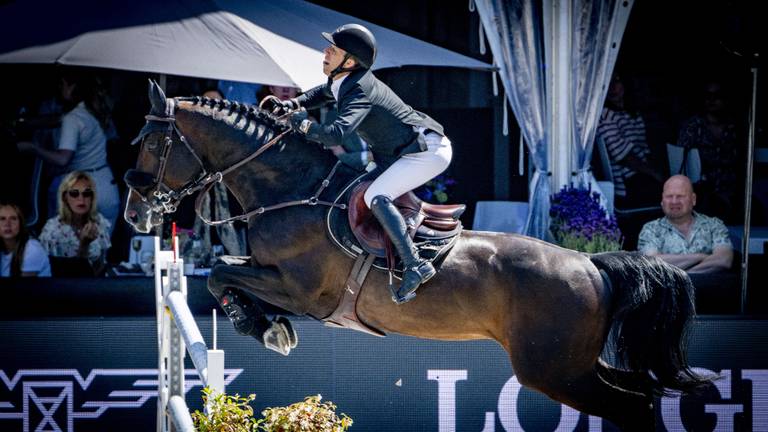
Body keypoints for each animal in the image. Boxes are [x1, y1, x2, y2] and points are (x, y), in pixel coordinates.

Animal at [123, 80, 712, 428]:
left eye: (152, 145)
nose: (136, 217)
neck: (292, 190)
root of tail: (593, 264)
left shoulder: (299, 289)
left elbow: (222, 274)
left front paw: (265, 327)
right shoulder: (277, 279)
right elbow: (224, 276)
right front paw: (268, 327)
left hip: (553, 370)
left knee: (629, 403)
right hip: (573, 364)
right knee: (642, 397)